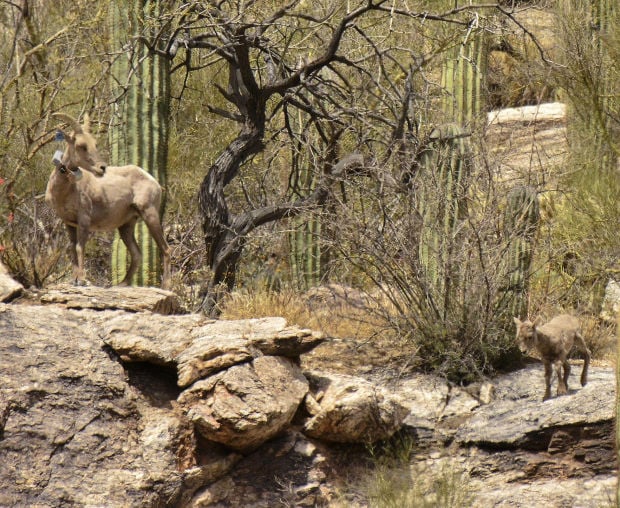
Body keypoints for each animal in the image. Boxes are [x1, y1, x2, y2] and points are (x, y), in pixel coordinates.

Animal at [47, 113, 171, 288]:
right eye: (81, 145)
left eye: (95, 144)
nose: (102, 168)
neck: (65, 191)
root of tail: (155, 183)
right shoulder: (69, 223)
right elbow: (72, 248)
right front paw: (74, 280)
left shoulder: (84, 219)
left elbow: (79, 247)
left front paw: (82, 280)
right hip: (127, 225)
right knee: (137, 253)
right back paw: (122, 284)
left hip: (150, 214)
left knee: (166, 249)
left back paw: (165, 286)